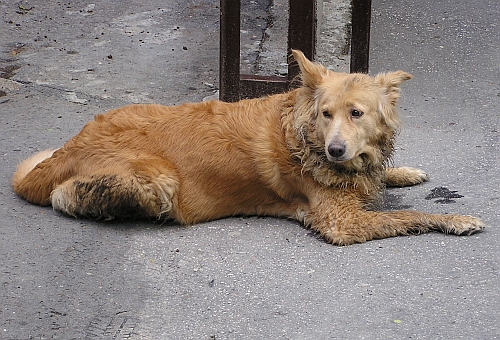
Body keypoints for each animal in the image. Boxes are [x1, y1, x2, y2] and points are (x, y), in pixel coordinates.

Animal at [11, 49, 484, 244]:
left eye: (356, 114)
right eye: (326, 114)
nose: (335, 151)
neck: (305, 137)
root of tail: (71, 145)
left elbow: (385, 179)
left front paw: (403, 172)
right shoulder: (341, 223)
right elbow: (409, 215)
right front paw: (456, 219)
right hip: (159, 182)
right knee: (66, 197)